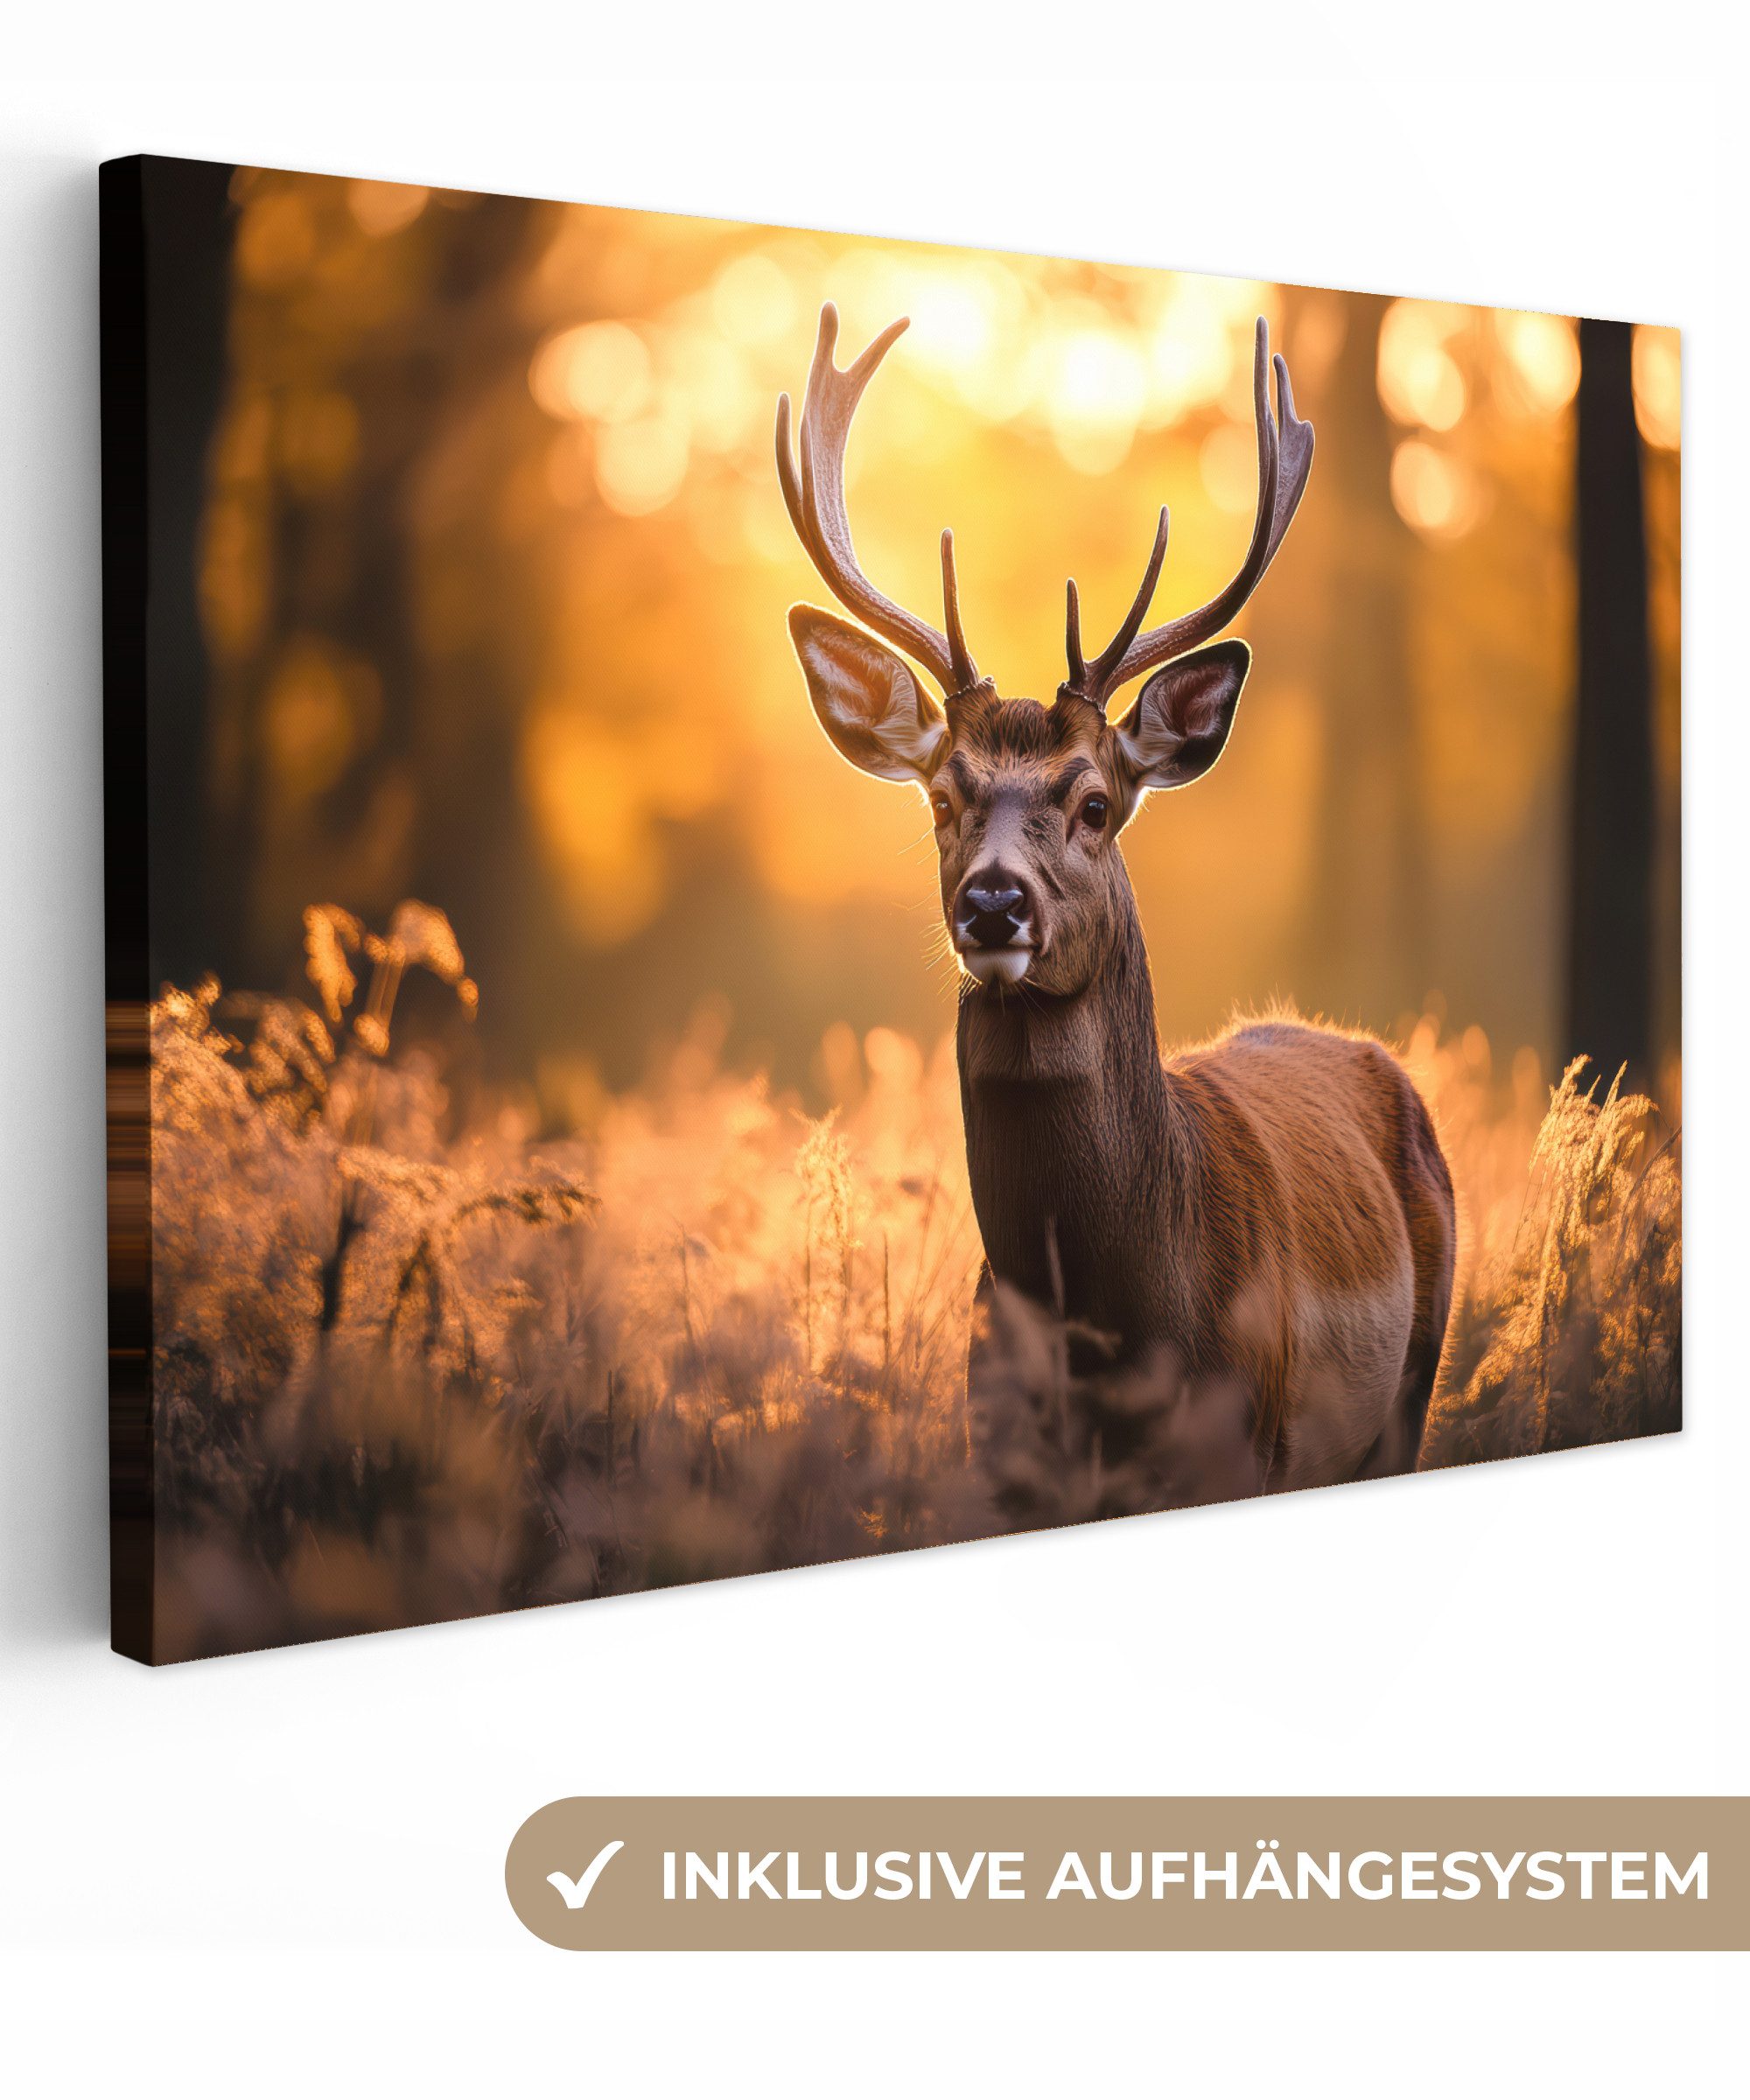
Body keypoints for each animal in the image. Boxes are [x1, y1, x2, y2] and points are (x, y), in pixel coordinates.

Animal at [776, 304, 1456, 1492]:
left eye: (1093, 803)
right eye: (943, 798)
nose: (992, 905)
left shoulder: (1247, 1444)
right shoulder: (999, 1456)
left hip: (1411, 1385)